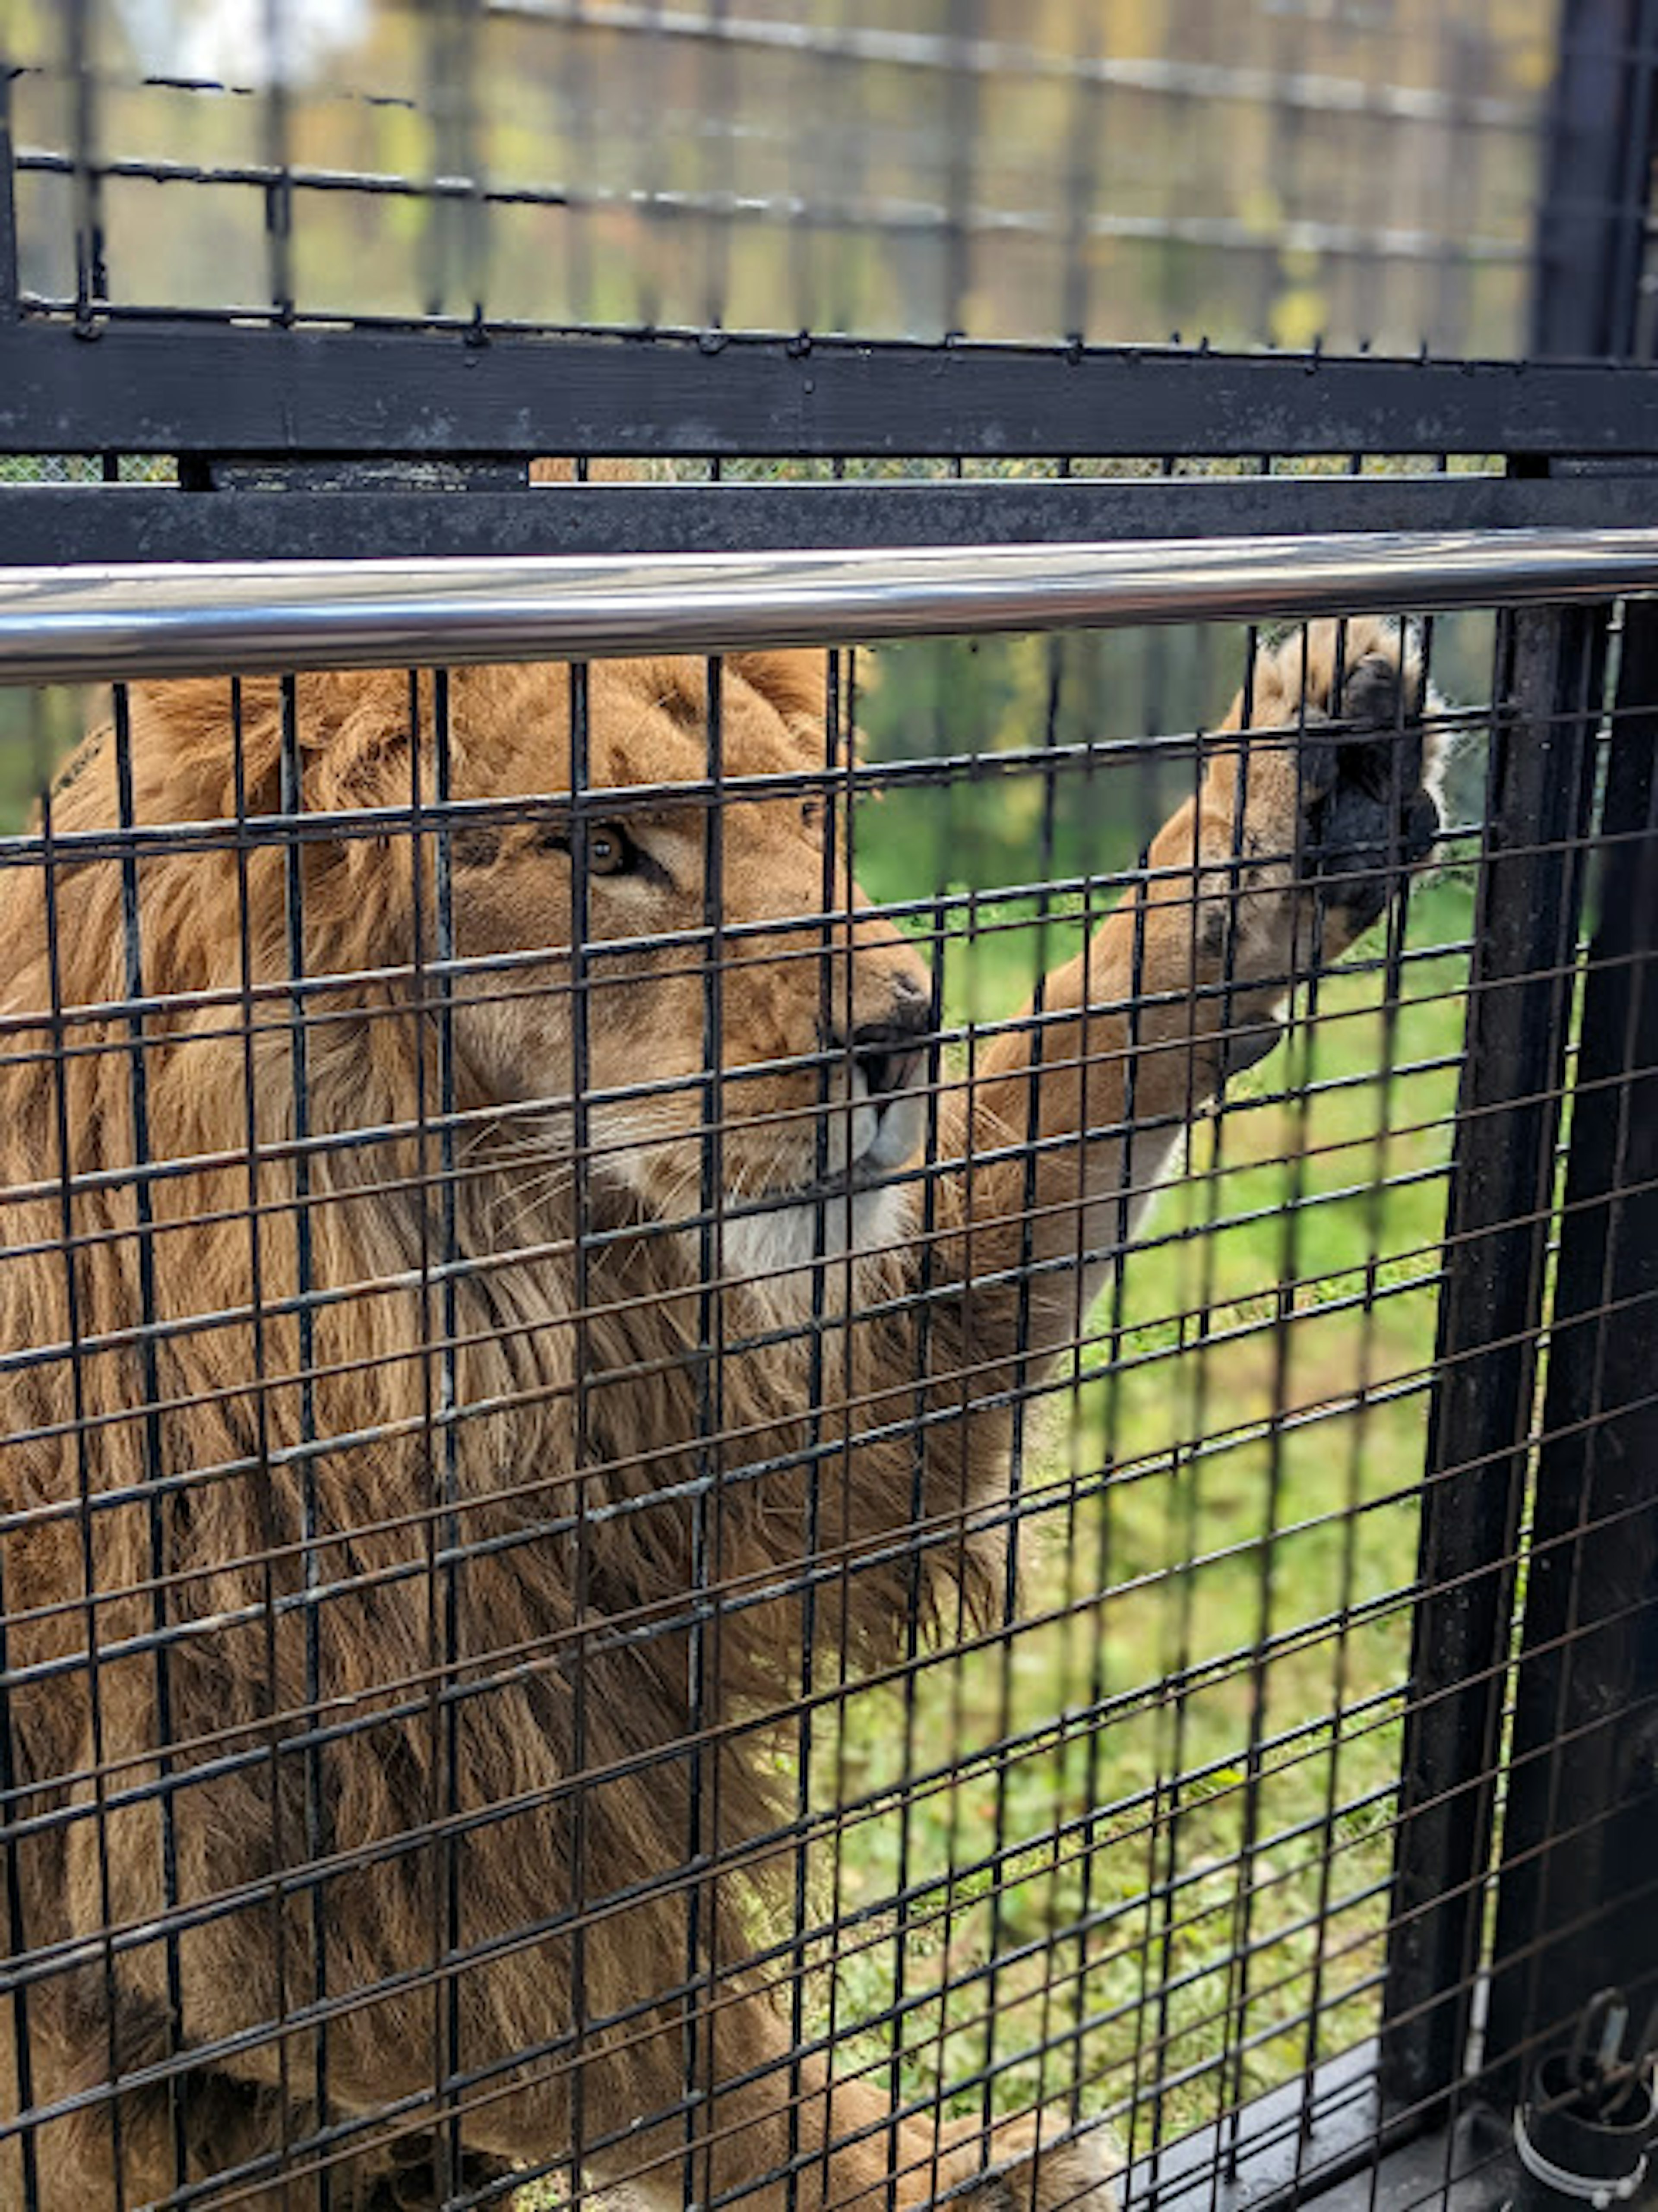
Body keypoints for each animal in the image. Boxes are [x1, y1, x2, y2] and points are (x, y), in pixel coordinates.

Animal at [0, 615, 1441, 2203]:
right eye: (599, 847)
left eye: (802, 815)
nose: (906, 1029)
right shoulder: (273, 1851)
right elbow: (683, 2061)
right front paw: (945, 2177)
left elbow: (1053, 1119)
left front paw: (1311, 784)